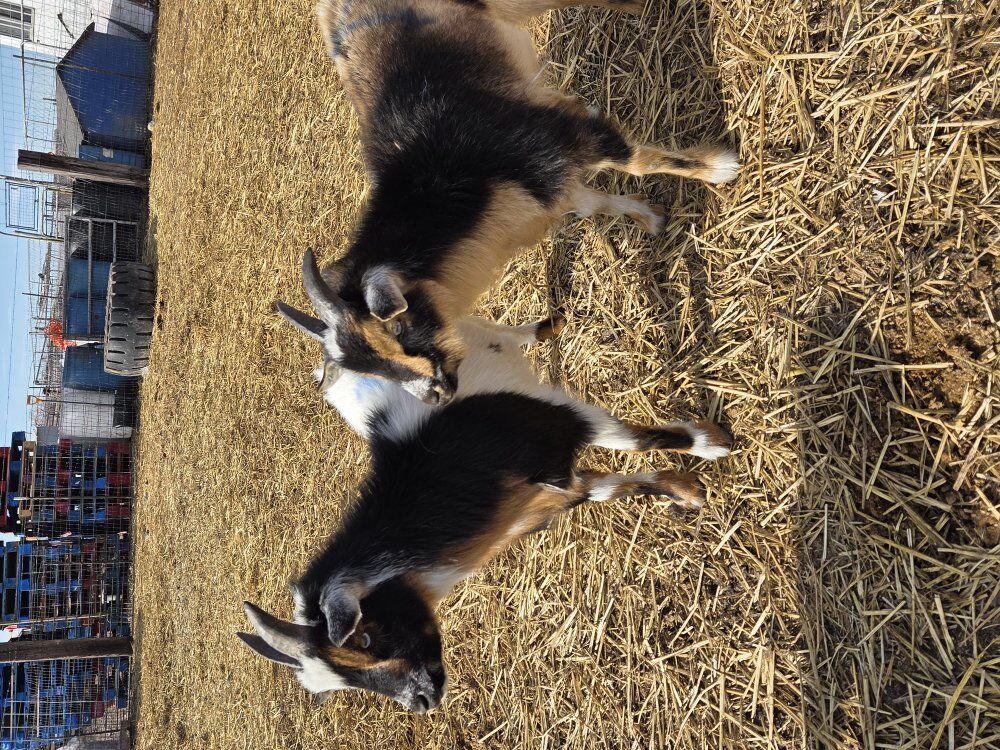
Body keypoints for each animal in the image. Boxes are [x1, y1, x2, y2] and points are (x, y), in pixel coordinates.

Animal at [238, 285, 732, 713]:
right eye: (343, 683)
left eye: (363, 638)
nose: (422, 702)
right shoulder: (545, 495)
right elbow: (612, 486)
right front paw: (684, 491)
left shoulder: (556, 420)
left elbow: (638, 441)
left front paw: (713, 444)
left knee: (494, 332)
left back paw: (545, 327)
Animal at [301, 0, 739, 404]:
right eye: (368, 369)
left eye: (395, 328)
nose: (436, 397)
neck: (443, 189)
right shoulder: (544, 190)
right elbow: (596, 203)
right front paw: (651, 218)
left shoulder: (557, 139)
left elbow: (638, 161)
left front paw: (721, 169)